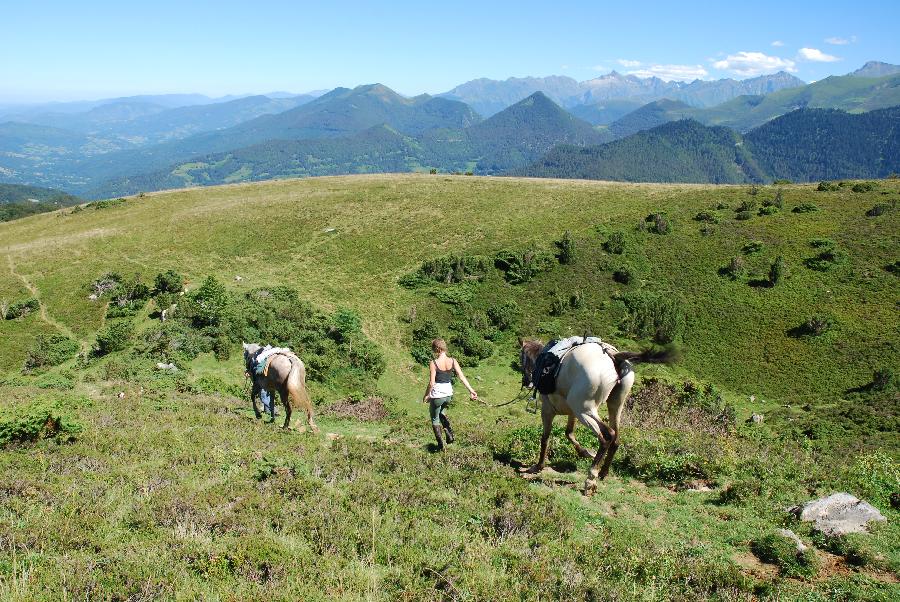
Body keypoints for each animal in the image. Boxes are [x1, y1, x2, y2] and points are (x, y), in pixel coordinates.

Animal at [516, 340, 664, 494]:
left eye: (522, 357)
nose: (526, 381)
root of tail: (613, 356)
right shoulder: (572, 412)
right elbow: (569, 433)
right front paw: (585, 452)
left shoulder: (547, 411)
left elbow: (545, 438)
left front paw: (538, 466)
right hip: (613, 406)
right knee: (616, 438)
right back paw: (603, 472)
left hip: (584, 410)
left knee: (607, 436)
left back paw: (591, 478)